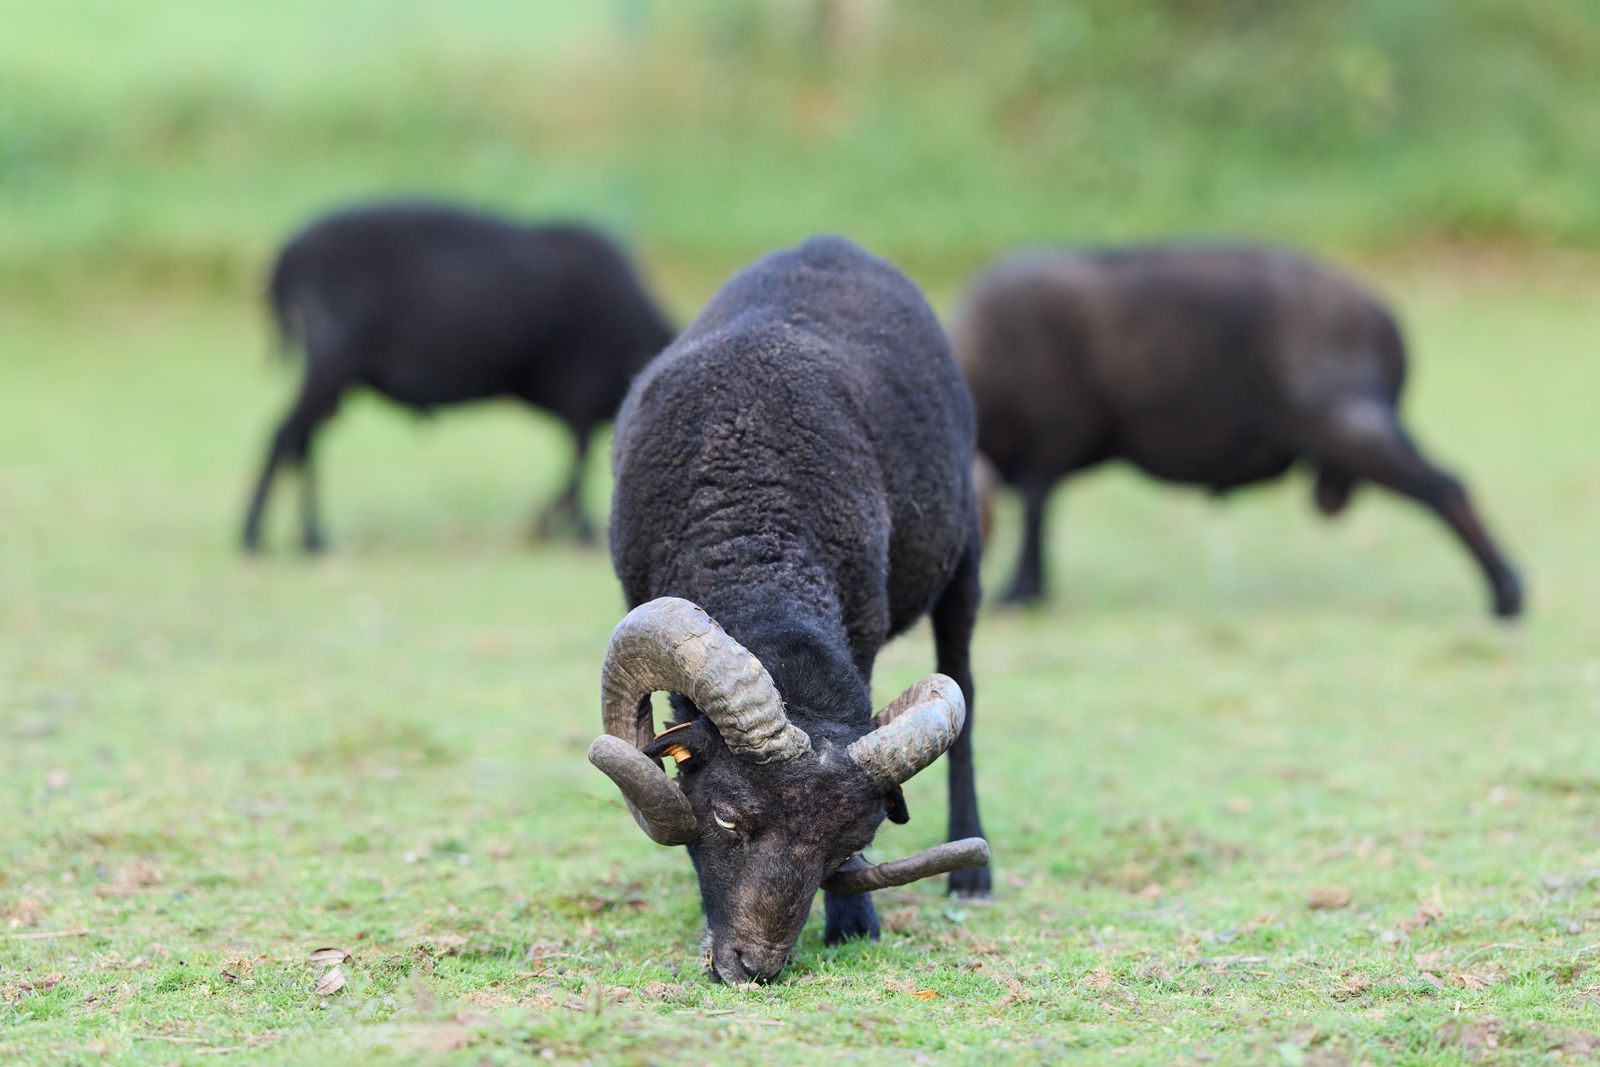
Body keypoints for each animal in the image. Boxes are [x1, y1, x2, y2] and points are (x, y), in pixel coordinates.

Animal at [242, 202, 674, 552]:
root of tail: (286, 258)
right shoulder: (580, 388)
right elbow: (577, 463)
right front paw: (568, 528)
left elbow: (574, 461)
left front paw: (553, 523)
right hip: (332, 358)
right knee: (287, 436)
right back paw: (258, 535)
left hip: (333, 372)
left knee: (303, 439)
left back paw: (306, 536)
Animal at [586, 235, 991, 985]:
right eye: (726, 819)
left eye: (848, 842)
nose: (752, 967)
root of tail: (832, 243)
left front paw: (855, 922)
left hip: (964, 562)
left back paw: (974, 879)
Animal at [952, 244, 1524, 618]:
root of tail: (1387, 324)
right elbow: (1039, 513)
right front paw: (1027, 592)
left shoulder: (1046, 442)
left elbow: (1034, 513)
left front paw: (1019, 595)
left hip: (1349, 424)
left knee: (1446, 487)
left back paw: (1507, 597)